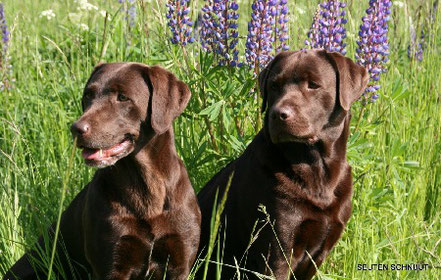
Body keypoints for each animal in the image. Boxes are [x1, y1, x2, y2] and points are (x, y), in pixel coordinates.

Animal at [4, 63, 200, 280]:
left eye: (122, 97)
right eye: (88, 95)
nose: (76, 129)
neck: (147, 186)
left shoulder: (179, 263)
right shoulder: (111, 264)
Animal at [197, 49, 368, 278]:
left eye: (313, 84)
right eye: (274, 85)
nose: (278, 114)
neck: (317, 169)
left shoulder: (318, 254)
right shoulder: (276, 251)